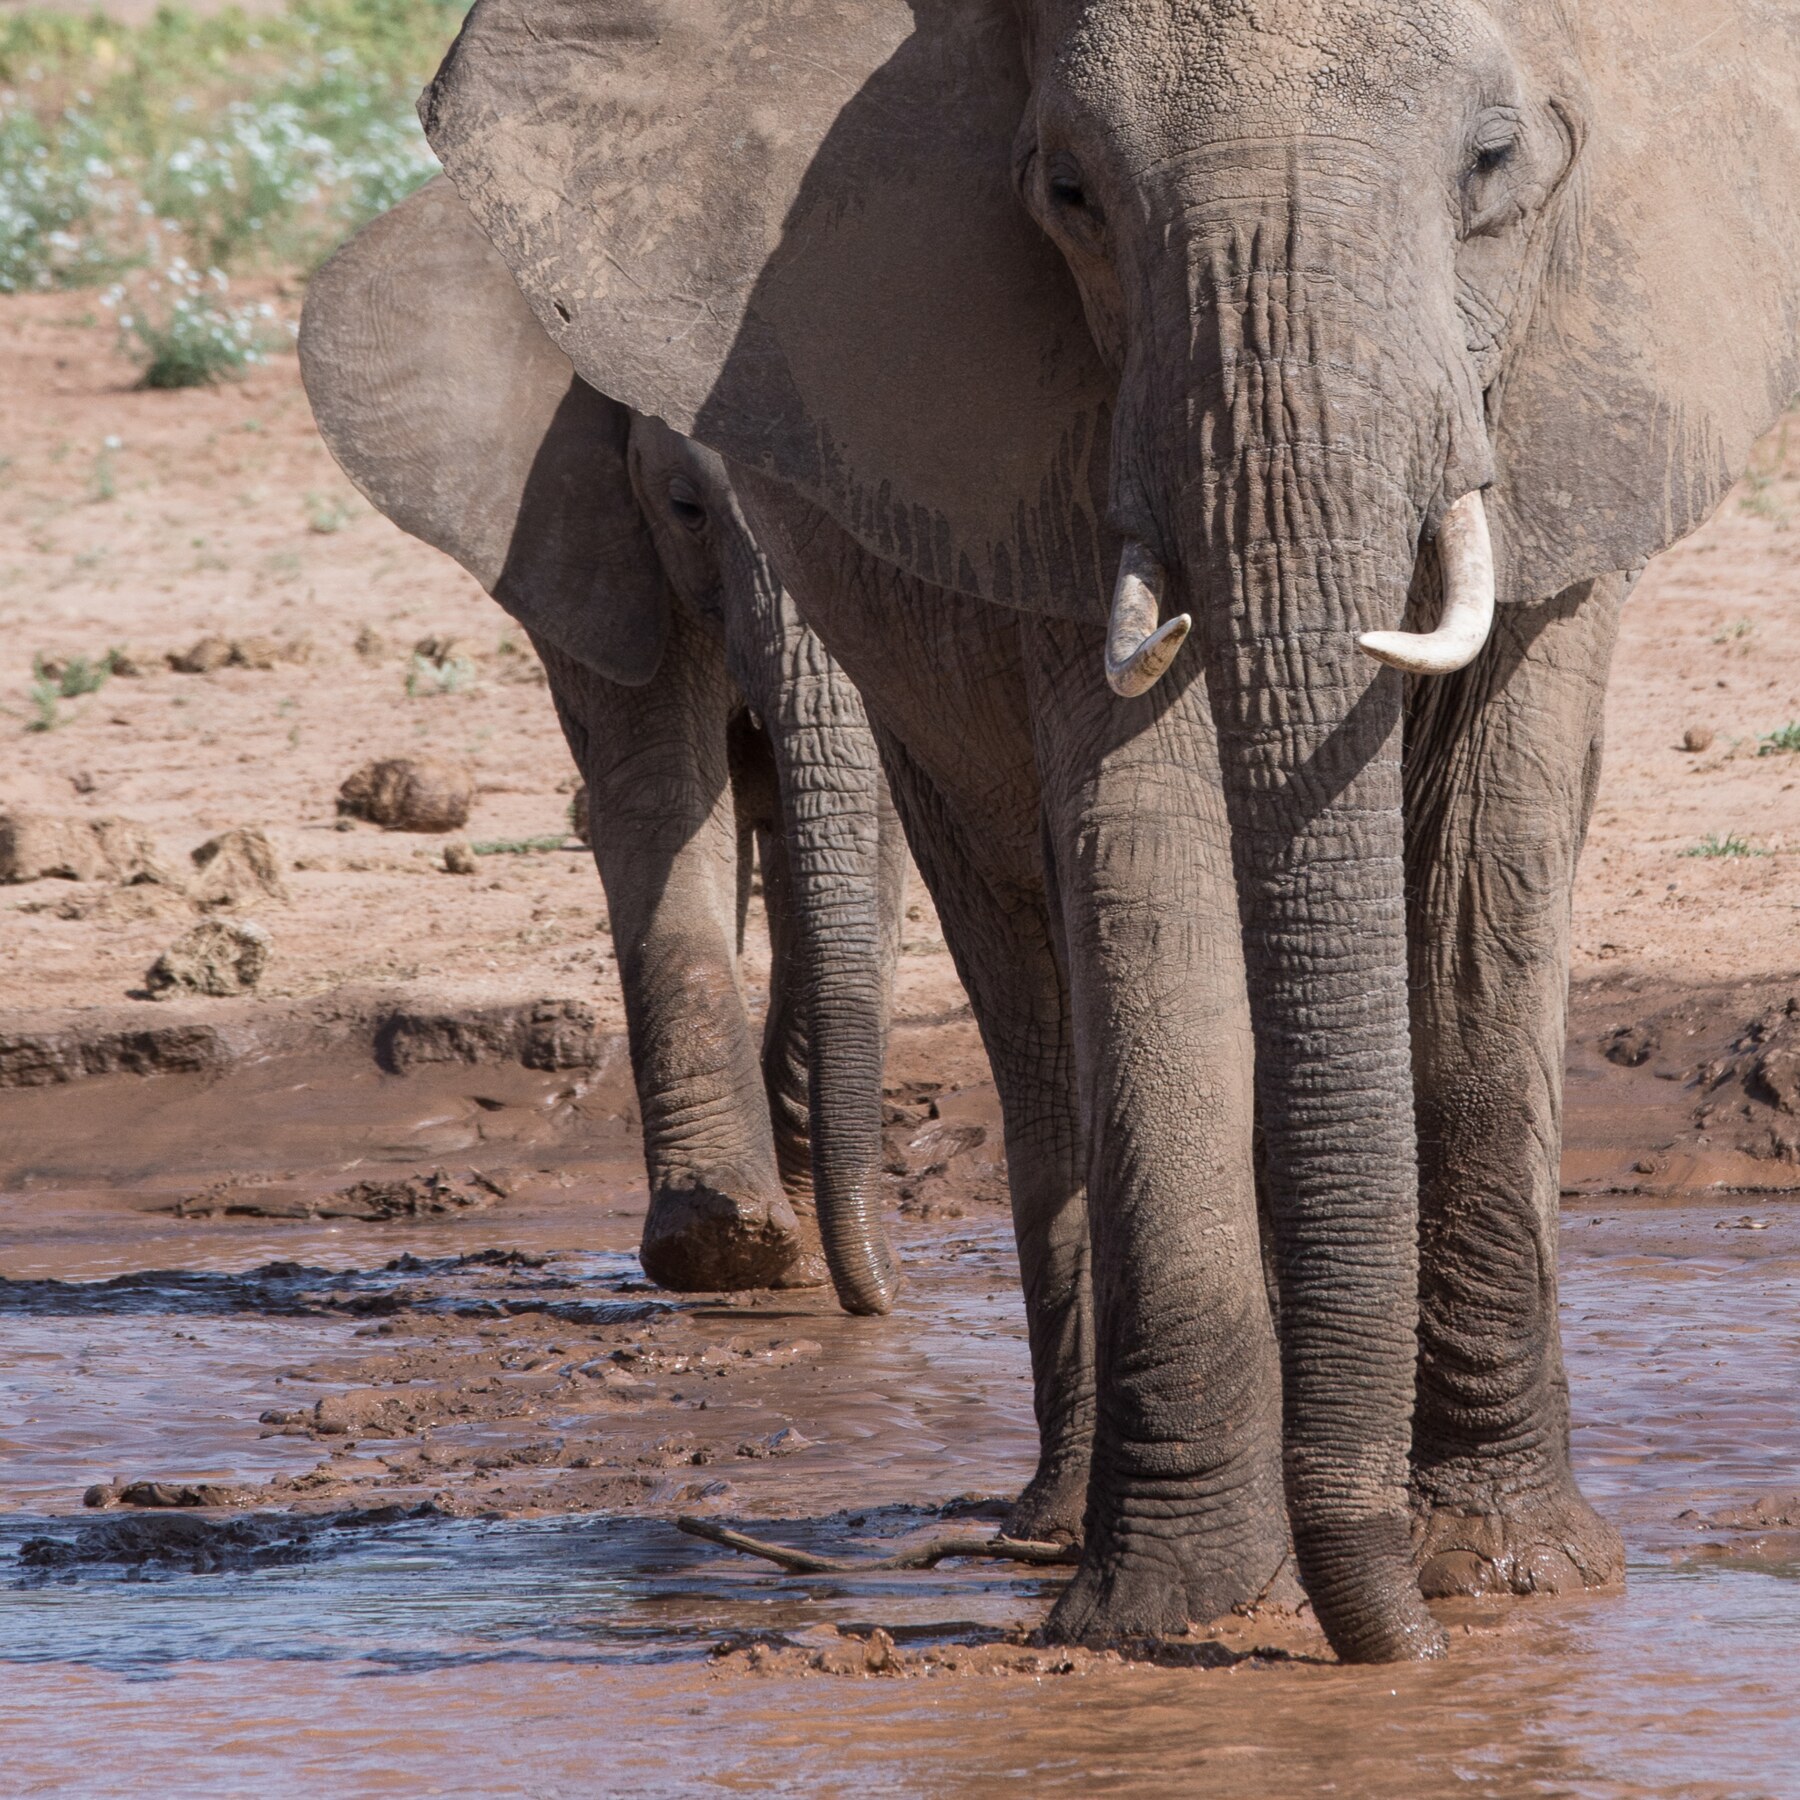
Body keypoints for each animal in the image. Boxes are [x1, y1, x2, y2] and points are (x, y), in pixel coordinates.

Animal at [297, 177, 911, 1315]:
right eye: (685, 507)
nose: (878, 1296)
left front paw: (770, 1252)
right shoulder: (582, 532)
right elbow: (663, 789)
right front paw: (728, 1247)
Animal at [418, 0, 1800, 1659]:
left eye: (1493, 159)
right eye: (1070, 194)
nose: (1399, 1641)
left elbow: (1492, 859)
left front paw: (1499, 1575)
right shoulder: (1047, 453)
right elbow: (1150, 858)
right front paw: (1177, 1617)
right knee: (1034, 992)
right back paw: (1062, 1528)